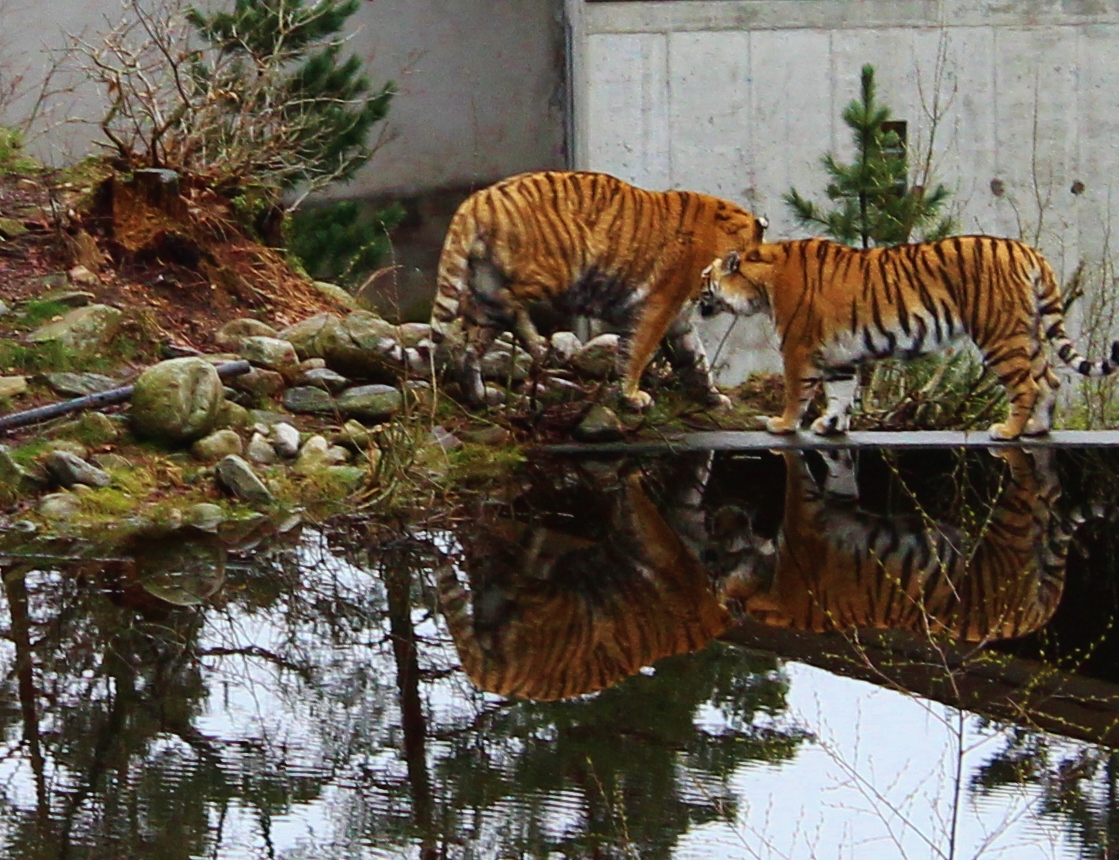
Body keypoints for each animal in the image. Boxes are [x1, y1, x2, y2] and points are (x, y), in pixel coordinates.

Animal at [429, 170, 767, 411]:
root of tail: (478, 198)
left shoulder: (678, 319)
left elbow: (696, 359)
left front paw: (712, 397)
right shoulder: (658, 307)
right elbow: (637, 351)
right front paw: (632, 397)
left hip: (489, 290)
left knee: (468, 347)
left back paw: (480, 395)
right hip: (550, 270)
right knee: (507, 304)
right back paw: (539, 344)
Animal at [698, 236, 1119, 440]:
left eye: (705, 279)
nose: (693, 296)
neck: (760, 283)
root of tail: (1027, 250)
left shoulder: (798, 347)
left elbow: (796, 392)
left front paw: (784, 424)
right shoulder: (840, 355)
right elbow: (840, 393)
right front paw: (830, 426)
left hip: (999, 333)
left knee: (1026, 385)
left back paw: (1008, 432)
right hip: (1027, 333)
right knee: (1050, 380)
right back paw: (1037, 429)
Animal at [711, 447, 1067, 643]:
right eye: (719, 549)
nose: (725, 513)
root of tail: (1034, 614)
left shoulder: (836, 501)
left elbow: (839, 466)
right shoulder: (805, 510)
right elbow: (798, 466)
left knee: (1049, 493)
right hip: (1010, 522)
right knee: (1037, 481)